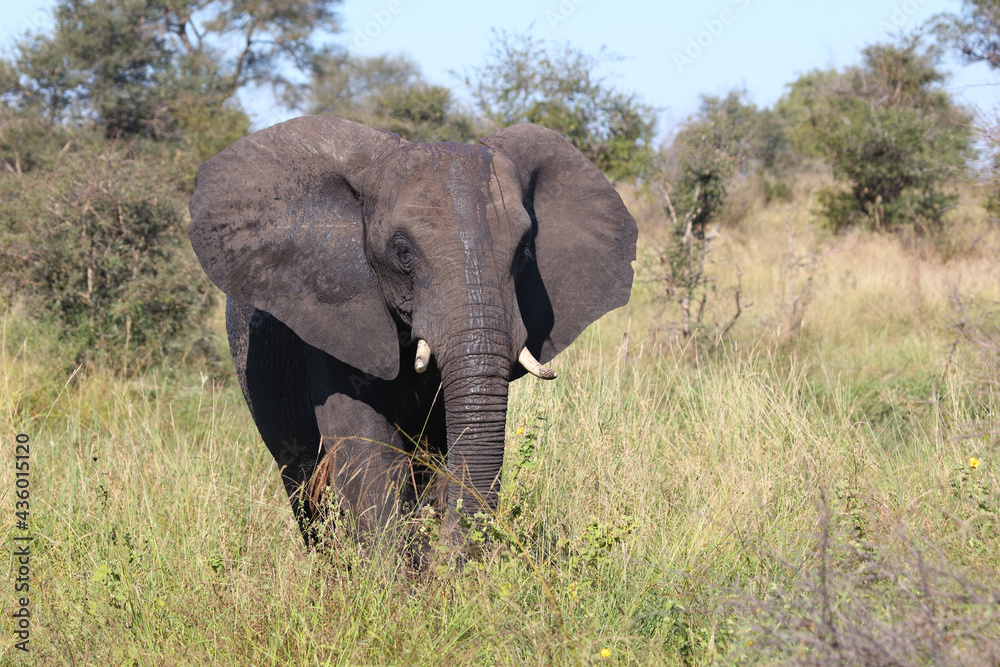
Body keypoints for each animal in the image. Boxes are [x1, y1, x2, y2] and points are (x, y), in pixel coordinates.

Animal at [189, 116, 632, 548]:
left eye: (524, 251)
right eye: (403, 253)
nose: (450, 554)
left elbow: (438, 452)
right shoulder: (336, 320)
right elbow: (368, 453)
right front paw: (392, 571)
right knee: (301, 480)